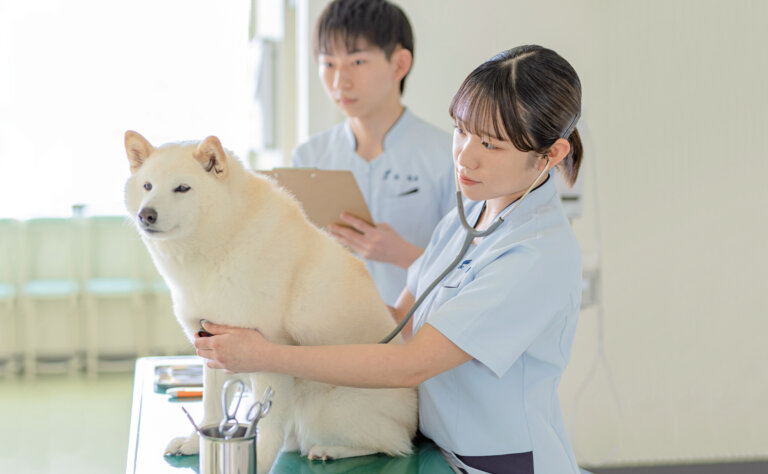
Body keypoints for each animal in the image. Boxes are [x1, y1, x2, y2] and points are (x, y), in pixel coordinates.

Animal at [124, 131, 416, 472]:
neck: (221, 245)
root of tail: (415, 417)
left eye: (182, 188)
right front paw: (195, 443)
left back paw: (329, 449)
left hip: (324, 408)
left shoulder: (267, 358)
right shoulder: (210, 346)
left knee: (393, 443)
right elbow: (210, 409)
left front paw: (257, 461)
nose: (146, 214)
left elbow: (267, 425)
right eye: (148, 186)